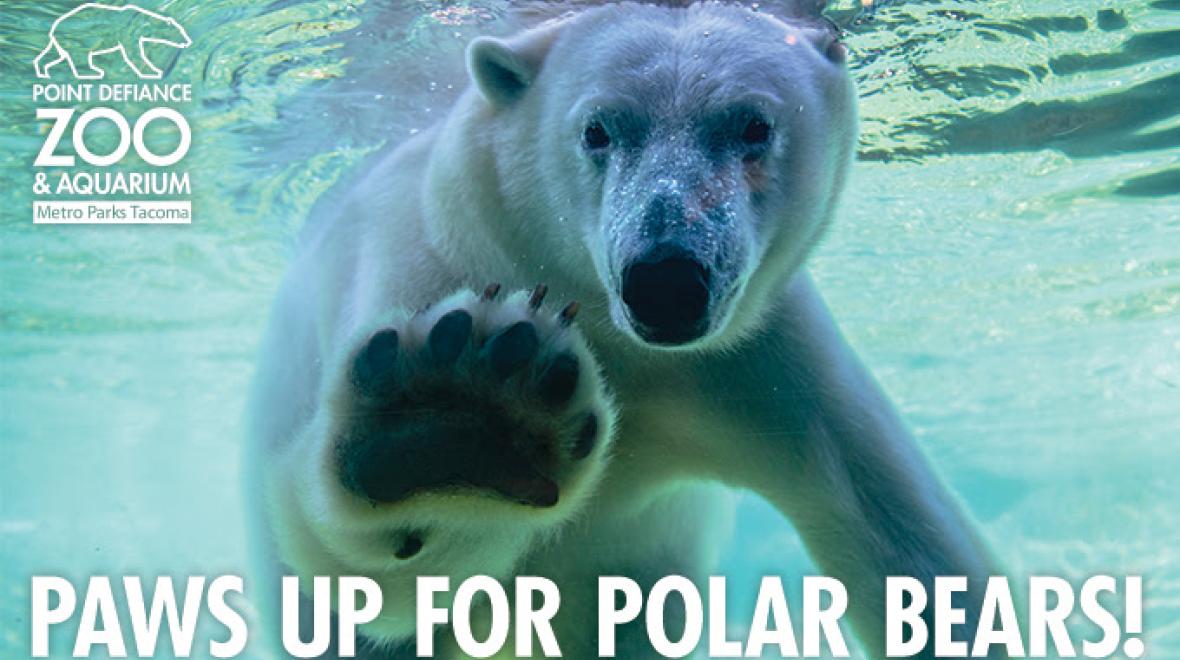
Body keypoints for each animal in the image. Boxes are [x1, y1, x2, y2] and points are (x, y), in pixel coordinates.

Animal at [246, 1, 1005, 657]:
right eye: (598, 130)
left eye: (753, 126)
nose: (666, 280)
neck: (613, 339)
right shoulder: (418, 267)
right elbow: (377, 587)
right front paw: (458, 415)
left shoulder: (753, 366)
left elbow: (901, 538)